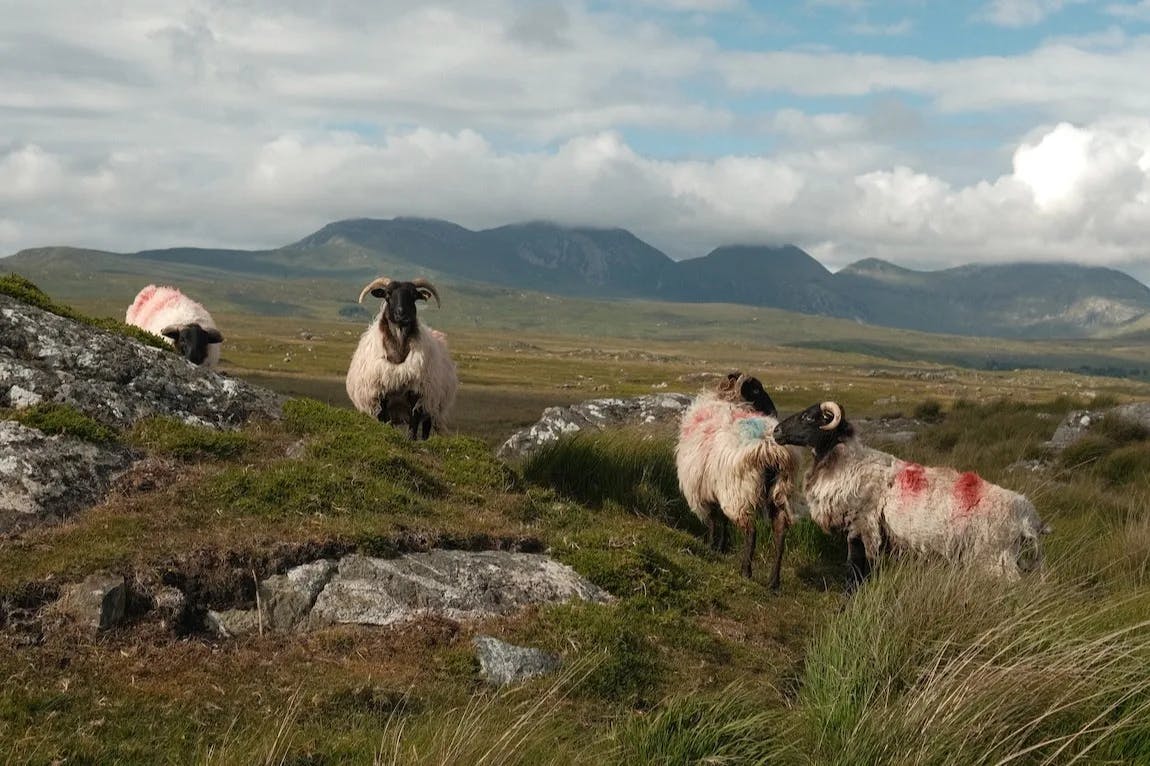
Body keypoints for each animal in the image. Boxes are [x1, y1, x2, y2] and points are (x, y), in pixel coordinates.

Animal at [342, 277, 455, 439]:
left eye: (414, 295)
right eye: (387, 294)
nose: (401, 313)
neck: (398, 352)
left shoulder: (418, 394)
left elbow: (413, 425)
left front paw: (411, 440)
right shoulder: (380, 393)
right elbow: (383, 420)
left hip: (432, 404)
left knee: (426, 428)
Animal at [671, 372, 800, 586]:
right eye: (756, 390)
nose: (774, 410)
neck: (729, 399)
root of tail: (769, 448)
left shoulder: (704, 492)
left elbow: (713, 521)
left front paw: (711, 547)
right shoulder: (715, 488)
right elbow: (723, 522)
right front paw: (721, 547)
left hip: (739, 492)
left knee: (751, 531)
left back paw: (746, 571)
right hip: (780, 491)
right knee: (780, 532)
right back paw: (773, 582)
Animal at [772, 400, 1053, 584]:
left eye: (809, 417)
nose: (776, 431)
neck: (845, 461)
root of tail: (1029, 517)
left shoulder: (862, 526)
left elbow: (857, 567)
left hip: (994, 556)